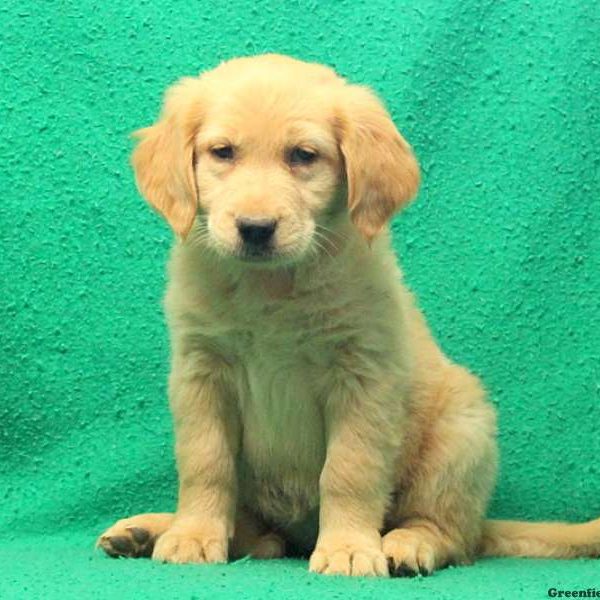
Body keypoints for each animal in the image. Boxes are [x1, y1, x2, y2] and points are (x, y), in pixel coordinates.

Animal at [98, 55, 600, 576]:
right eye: (222, 152)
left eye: (303, 156)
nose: (255, 229)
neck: (272, 289)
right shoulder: (201, 373)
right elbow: (205, 463)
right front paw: (193, 535)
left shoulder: (363, 375)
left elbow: (348, 470)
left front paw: (349, 548)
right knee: (261, 538)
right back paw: (152, 529)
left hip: (462, 433)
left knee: (450, 533)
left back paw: (407, 545)